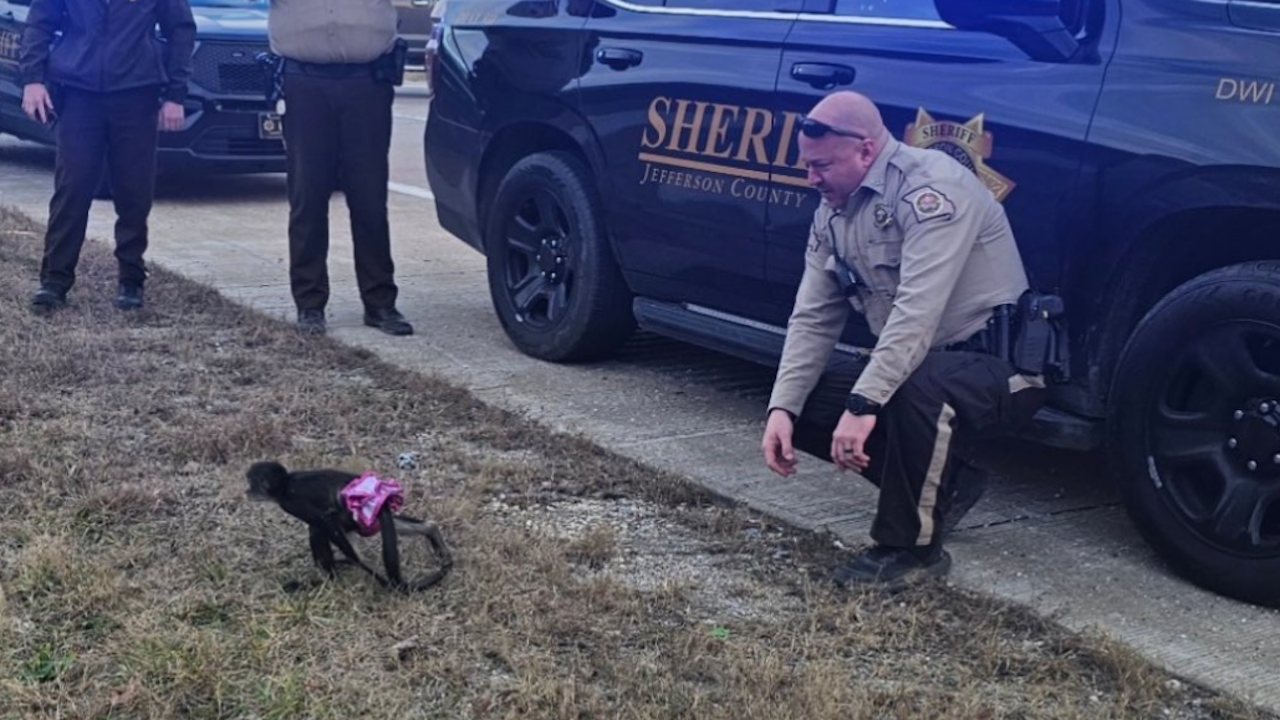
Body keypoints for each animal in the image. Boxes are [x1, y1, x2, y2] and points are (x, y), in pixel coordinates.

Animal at [244, 458, 455, 589]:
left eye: (251, 484)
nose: (246, 492)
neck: (286, 483)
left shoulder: (291, 503)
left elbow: (324, 522)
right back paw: (431, 528)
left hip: (350, 517)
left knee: (317, 529)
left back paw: (328, 579)